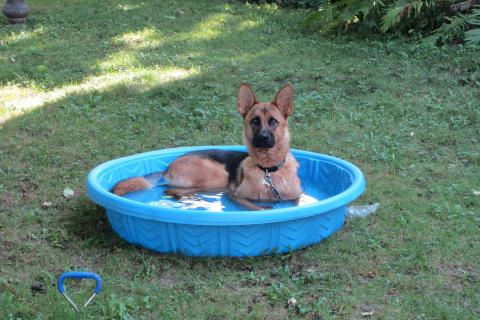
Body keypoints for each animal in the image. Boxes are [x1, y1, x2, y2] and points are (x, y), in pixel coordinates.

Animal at [110, 82, 302, 210]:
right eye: (254, 121)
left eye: (273, 121)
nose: (262, 138)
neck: (268, 171)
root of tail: (169, 167)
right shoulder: (234, 196)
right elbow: (259, 208)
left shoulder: (296, 198)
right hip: (218, 177)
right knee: (171, 190)